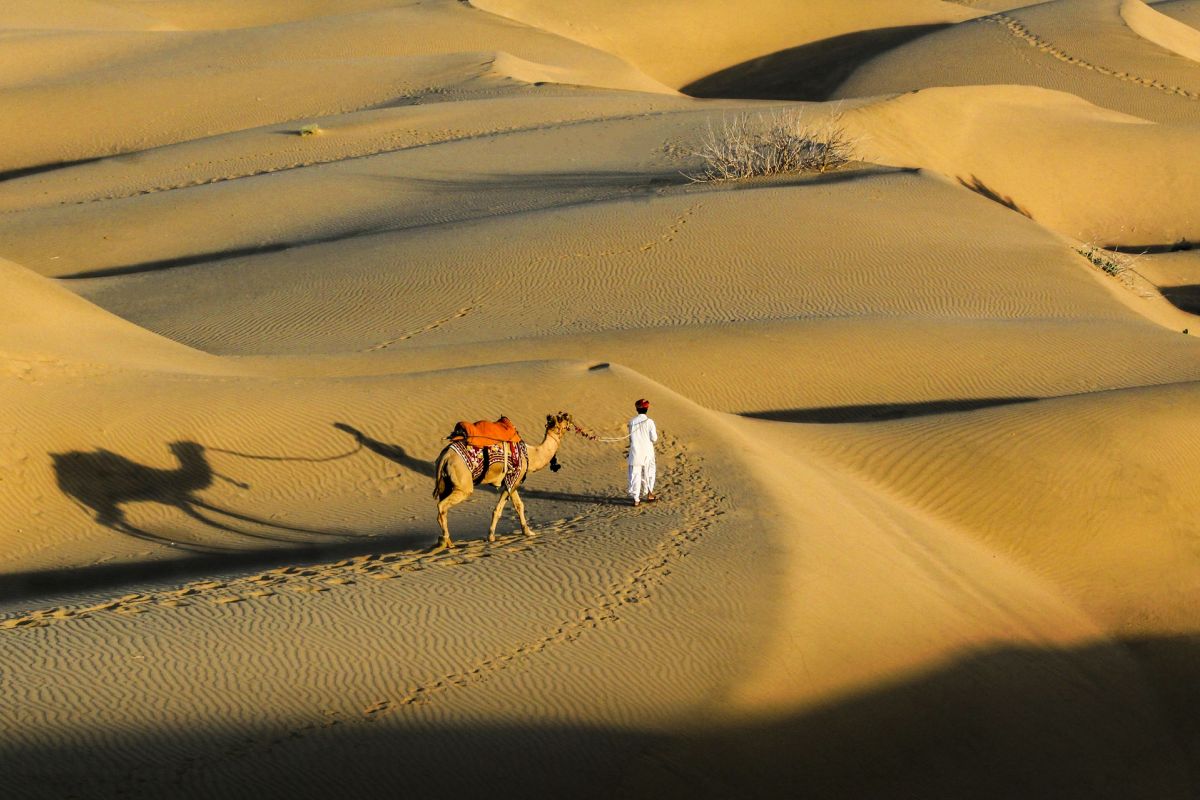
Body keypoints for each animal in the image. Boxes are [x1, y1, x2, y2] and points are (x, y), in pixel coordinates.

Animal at [432, 412, 574, 550]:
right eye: (561, 418)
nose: (569, 416)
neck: (531, 455)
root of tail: (446, 456)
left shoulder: (512, 481)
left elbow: (519, 505)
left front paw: (528, 532)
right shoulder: (513, 478)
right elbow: (498, 510)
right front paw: (491, 537)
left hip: (445, 484)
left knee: (442, 507)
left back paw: (446, 541)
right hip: (463, 485)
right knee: (442, 506)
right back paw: (447, 542)